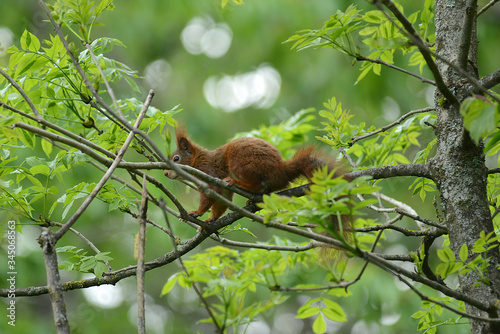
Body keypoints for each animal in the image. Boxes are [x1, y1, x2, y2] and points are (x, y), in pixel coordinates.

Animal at [166, 126, 346, 223]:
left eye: (176, 158)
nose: (166, 173)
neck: (198, 161)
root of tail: (281, 170)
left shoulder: (208, 173)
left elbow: (210, 196)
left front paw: (195, 213)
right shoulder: (221, 190)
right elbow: (222, 202)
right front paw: (212, 219)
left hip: (241, 163)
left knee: (258, 183)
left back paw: (239, 183)